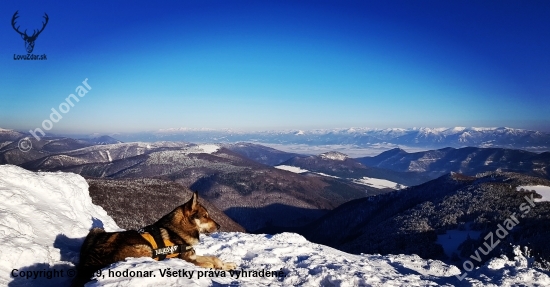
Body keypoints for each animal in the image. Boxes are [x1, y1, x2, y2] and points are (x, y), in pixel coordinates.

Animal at [72, 191, 236, 287]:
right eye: (205, 216)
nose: (220, 226)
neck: (177, 229)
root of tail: (88, 263)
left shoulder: (193, 255)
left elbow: (214, 258)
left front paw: (227, 264)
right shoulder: (187, 259)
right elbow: (209, 262)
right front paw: (219, 267)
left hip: (96, 231)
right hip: (145, 249)